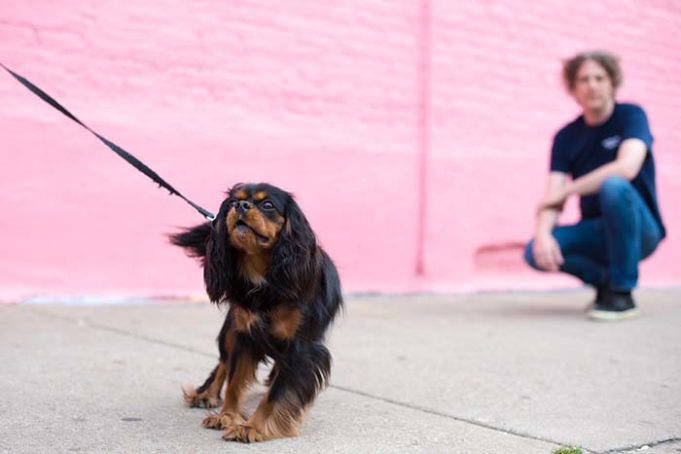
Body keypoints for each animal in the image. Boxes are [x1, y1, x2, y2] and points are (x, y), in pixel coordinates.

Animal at [170, 183, 340, 442]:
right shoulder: (244, 334)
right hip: (230, 328)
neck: (264, 276)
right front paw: (227, 416)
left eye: (268, 204)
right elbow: (234, 381)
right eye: (232, 202)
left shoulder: (300, 348)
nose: (241, 206)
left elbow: (276, 393)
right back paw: (205, 395)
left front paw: (252, 427)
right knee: (223, 362)